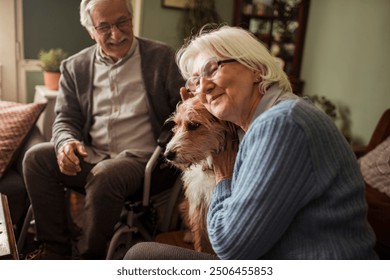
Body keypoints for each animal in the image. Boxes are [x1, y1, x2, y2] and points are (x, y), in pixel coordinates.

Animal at [162, 98, 236, 254]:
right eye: (177, 124)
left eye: (193, 125)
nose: (167, 154)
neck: (211, 168)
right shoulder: (198, 199)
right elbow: (200, 235)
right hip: (184, 206)